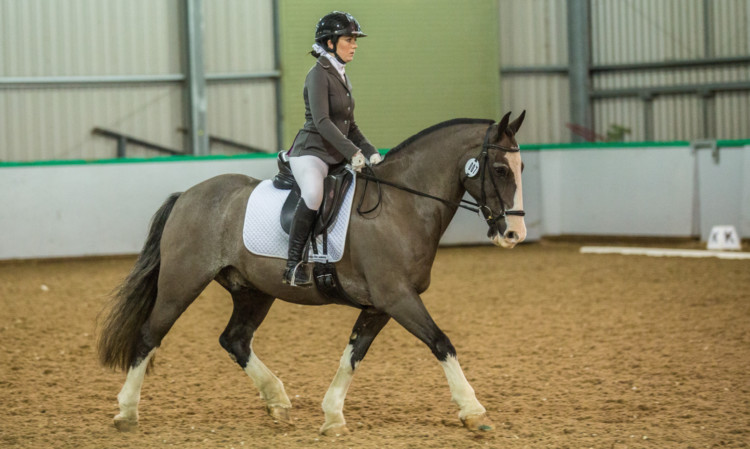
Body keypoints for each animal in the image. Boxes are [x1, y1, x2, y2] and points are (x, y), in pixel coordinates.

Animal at [98, 109, 528, 434]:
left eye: (521, 165)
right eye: (500, 169)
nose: (514, 233)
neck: (401, 205)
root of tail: (187, 195)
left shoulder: (380, 306)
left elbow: (352, 355)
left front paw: (333, 415)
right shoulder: (397, 297)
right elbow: (441, 342)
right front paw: (473, 411)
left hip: (253, 291)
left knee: (235, 340)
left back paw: (277, 400)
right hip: (181, 283)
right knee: (149, 335)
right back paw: (126, 412)